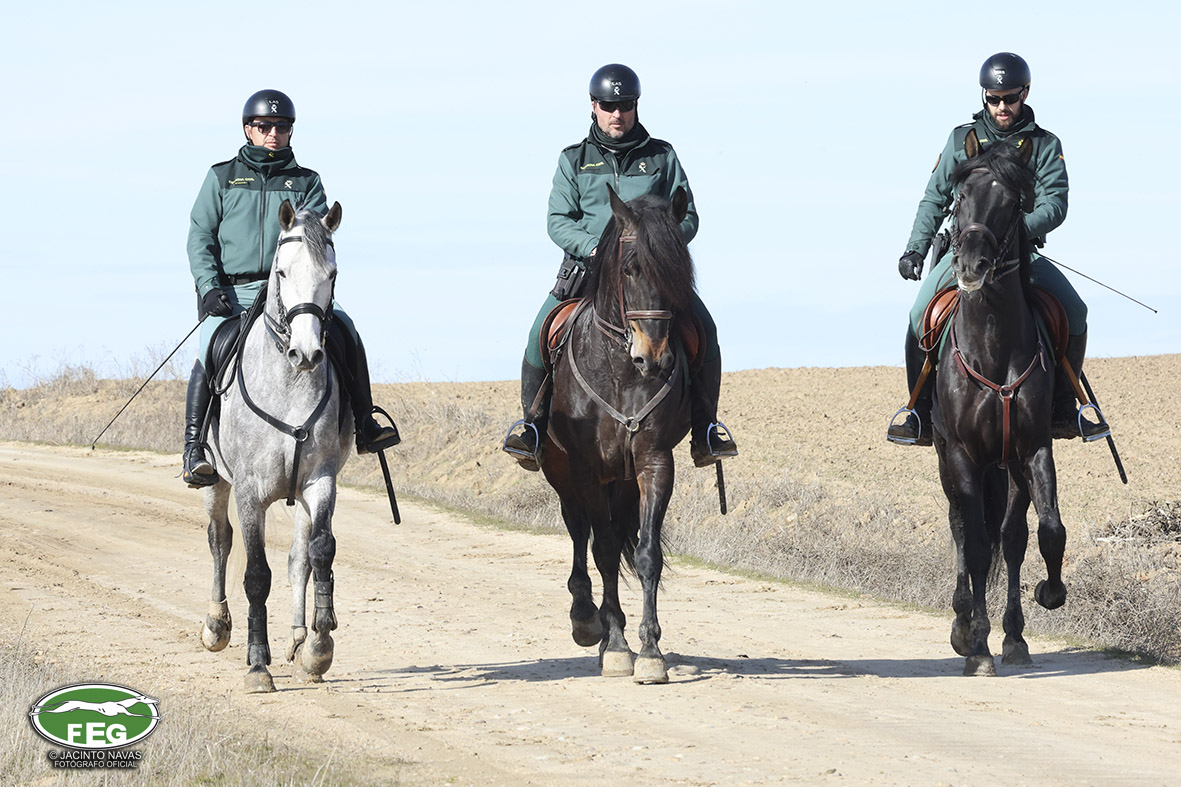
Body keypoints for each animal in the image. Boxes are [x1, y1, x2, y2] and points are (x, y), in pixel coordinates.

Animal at [198, 199, 353, 693]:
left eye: (332, 274)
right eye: (282, 272)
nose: (305, 353)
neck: (289, 384)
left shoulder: (320, 481)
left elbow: (319, 553)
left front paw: (319, 648)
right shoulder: (250, 492)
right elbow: (255, 575)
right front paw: (257, 665)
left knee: (298, 558)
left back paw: (301, 640)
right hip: (215, 481)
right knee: (219, 540)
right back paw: (216, 626)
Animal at [541, 186, 695, 684]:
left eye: (679, 271)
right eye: (630, 269)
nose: (655, 358)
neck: (622, 372)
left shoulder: (654, 461)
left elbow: (647, 555)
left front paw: (649, 651)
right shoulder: (586, 469)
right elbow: (604, 549)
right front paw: (617, 647)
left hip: (623, 481)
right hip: (562, 473)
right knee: (579, 532)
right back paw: (588, 620)